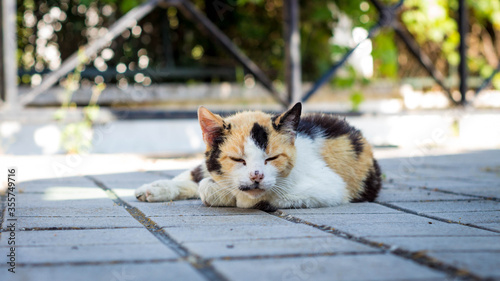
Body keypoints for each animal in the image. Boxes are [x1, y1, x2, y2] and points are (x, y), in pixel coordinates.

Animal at [135, 103, 380, 210]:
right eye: (237, 160)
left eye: (271, 158)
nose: (256, 175)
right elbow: (204, 181)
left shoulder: (330, 187)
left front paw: (222, 194)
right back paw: (152, 189)